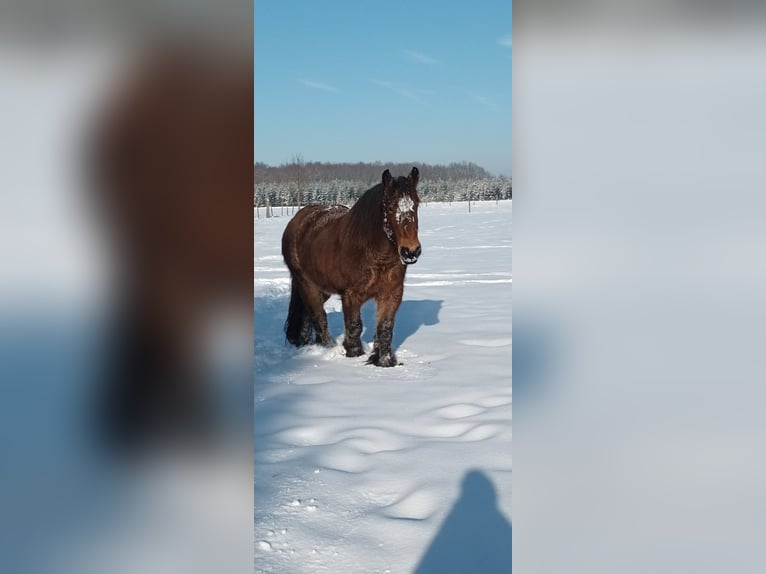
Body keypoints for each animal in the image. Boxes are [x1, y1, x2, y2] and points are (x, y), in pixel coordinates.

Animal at [284, 169, 426, 368]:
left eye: (417, 204)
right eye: (390, 207)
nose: (411, 251)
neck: (374, 255)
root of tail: (297, 220)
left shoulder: (392, 294)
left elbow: (385, 327)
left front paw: (383, 361)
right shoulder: (351, 295)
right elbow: (354, 326)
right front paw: (354, 354)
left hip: (321, 289)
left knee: (307, 313)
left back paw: (305, 342)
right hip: (307, 284)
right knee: (319, 317)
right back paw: (327, 348)